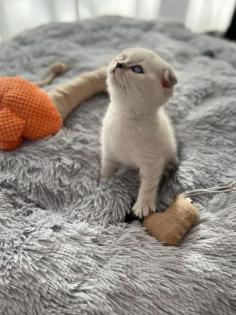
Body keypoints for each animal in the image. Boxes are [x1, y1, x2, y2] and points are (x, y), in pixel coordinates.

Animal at [101, 47, 177, 220]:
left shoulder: (152, 161)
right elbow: (106, 168)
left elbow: (148, 185)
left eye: (137, 69)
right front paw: (103, 183)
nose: (119, 64)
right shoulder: (108, 151)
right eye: (122, 57)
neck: (125, 115)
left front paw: (143, 205)